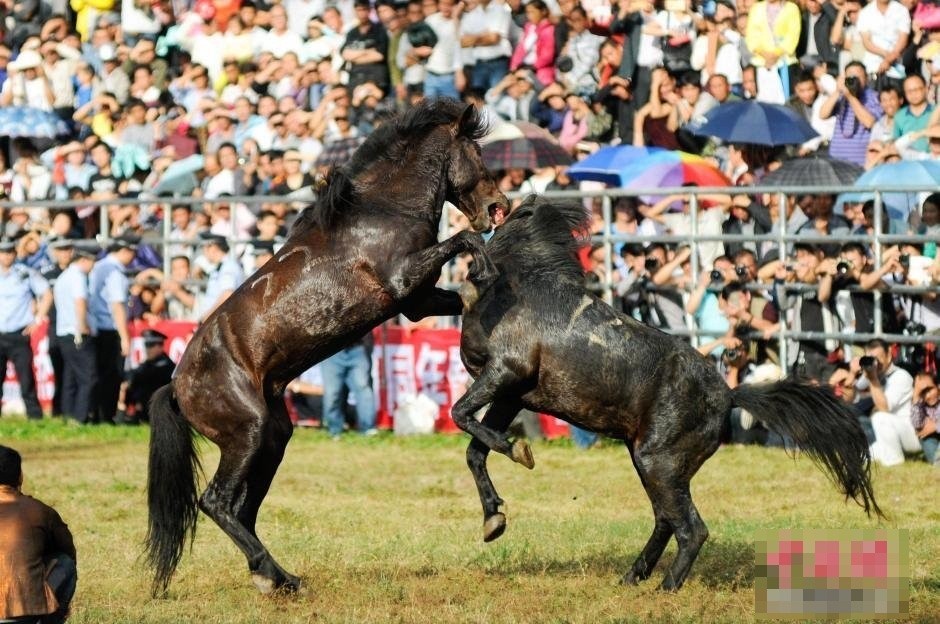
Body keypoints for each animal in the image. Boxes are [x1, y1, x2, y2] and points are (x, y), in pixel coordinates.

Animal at [147, 100, 510, 596]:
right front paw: (489, 270)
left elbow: (462, 293)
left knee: (243, 509)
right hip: (248, 432)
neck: (383, 210)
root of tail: (176, 386)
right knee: (217, 502)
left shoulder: (416, 302)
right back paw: (271, 573)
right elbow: (463, 240)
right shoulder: (404, 281)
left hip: (273, 437)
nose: (500, 207)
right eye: (476, 152)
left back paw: (278, 576)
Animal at [456, 197, 880, 592]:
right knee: (666, 519)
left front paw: (518, 451)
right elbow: (475, 449)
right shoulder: (511, 394)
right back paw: (633, 576)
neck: (517, 287)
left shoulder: (507, 371)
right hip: (654, 463)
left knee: (691, 528)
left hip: (657, 462)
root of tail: (729, 396)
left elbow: (461, 415)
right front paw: (494, 519)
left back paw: (666, 588)